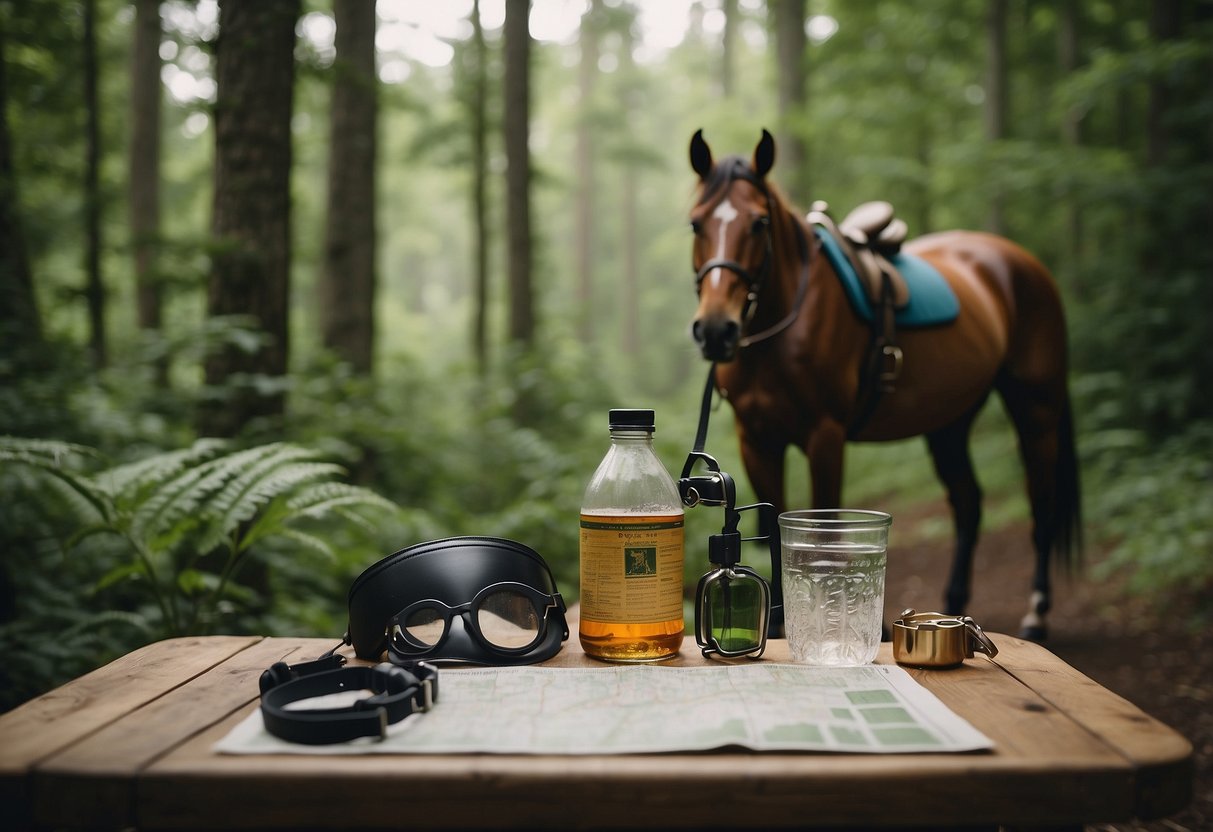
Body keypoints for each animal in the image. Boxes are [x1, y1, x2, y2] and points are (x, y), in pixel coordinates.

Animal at [684, 128, 1081, 640]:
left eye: (758, 223)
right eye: (695, 224)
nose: (716, 329)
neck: (784, 327)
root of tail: (1026, 264)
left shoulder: (826, 436)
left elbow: (825, 528)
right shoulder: (756, 441)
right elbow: (774, 526)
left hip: (1036, 408)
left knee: (1041, 504)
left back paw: (1037, 609)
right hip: (949, 422)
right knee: (968, 504)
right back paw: (953, 604)